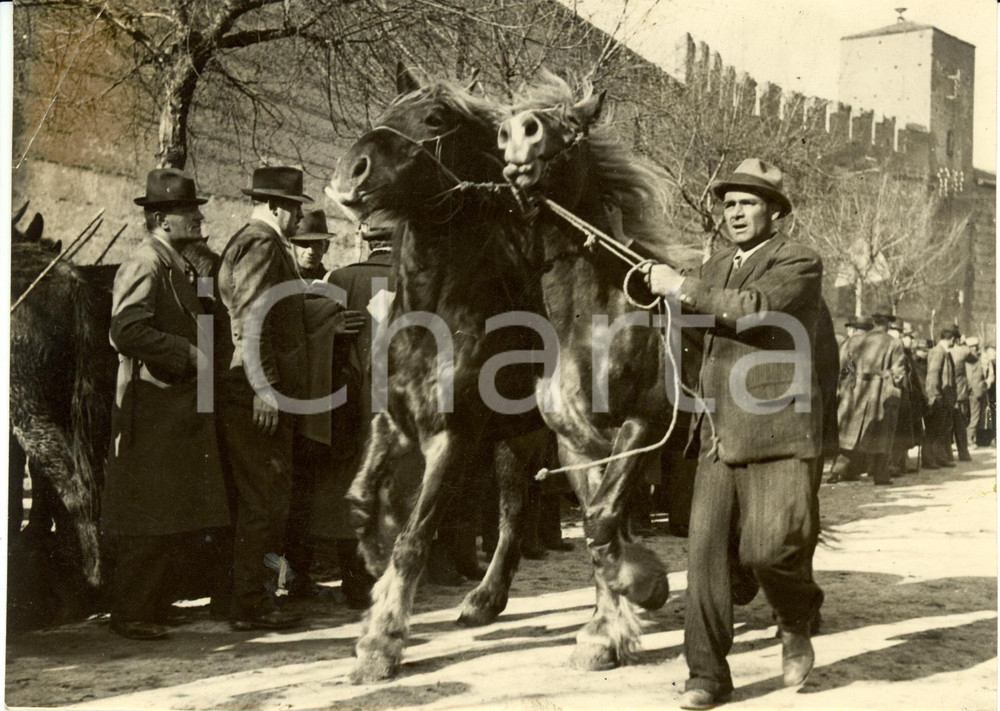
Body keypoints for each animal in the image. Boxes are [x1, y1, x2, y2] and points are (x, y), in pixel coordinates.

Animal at [329, 65, 549, 682]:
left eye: (434, 119)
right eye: (387, 108)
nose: (349, 172)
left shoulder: (452, 437)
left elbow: (416, 536)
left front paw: (381, 641)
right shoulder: (392, 423)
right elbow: (361, 503)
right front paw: (373, 560)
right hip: (514, 441)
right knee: (514, 510)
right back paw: (484, 601)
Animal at [495, 73, 708, 670]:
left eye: (573, 125)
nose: (517, 132)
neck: (587, 329)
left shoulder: (643, 425)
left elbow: (601, 517)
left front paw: (644, 586)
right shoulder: (575, 444)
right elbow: (596, 523)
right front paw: (604, 630)